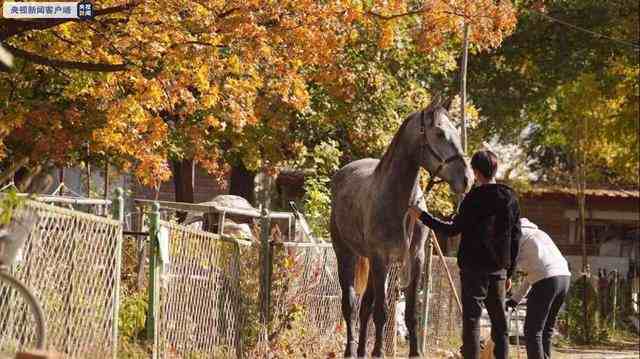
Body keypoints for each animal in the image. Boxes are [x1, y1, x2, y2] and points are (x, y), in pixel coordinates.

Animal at [332, 97, 472, 358]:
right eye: (439, 133)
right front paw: (379, 353)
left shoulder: (415, 258)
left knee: (365, 307)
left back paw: (362, 351)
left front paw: (415, 352)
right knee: (351, 306)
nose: (466, 179)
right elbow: (382, 312)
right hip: (346, 254)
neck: (399, 203)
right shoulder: (381, 258)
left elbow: (410, 313)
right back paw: (351, 350)